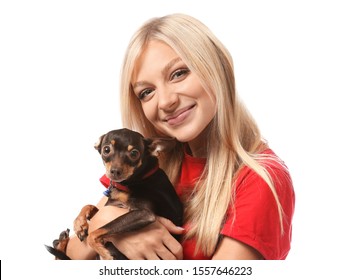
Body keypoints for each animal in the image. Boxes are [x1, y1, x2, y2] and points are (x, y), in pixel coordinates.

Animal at [44, 129, 184, 260]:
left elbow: (95, 233)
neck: (135, 180)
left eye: (134, 153)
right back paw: (61, 240)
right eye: (106, 149)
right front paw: (79, 224)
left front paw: (104, 253)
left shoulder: (144, 213)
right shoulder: (109, 206)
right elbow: (89, 206)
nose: (115, 171)